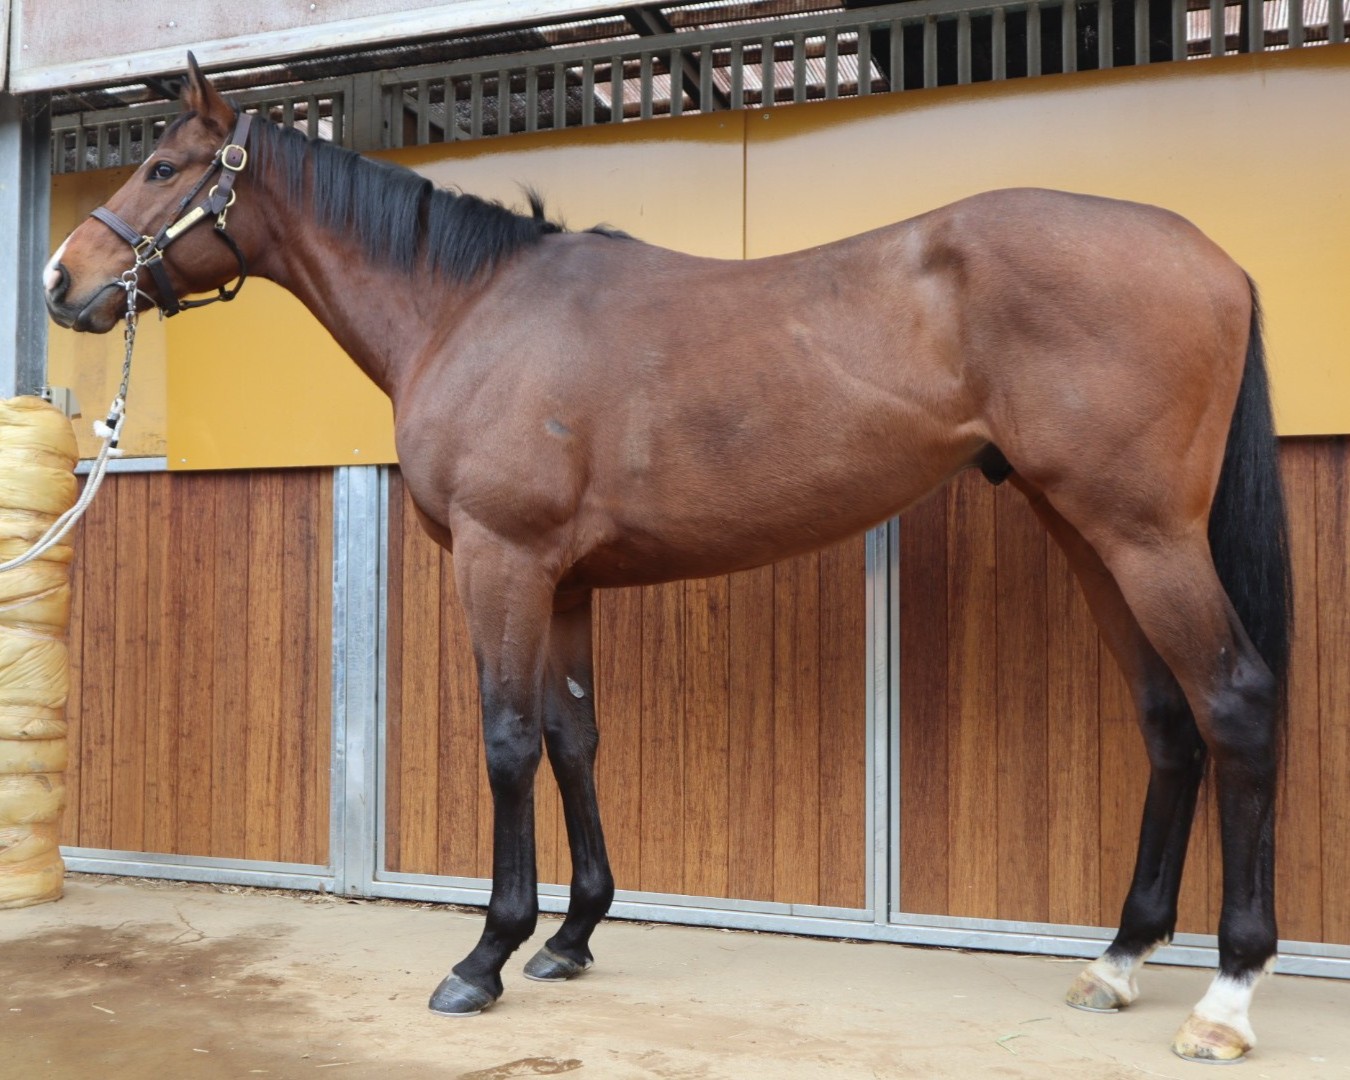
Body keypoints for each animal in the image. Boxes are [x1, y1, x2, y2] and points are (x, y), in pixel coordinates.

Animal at [44, 55, 1291, 1063]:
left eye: (162, 166)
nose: (61, 281)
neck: (469, 313)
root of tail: (1219, 262)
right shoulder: (566, 582)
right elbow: (575, 738)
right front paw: (573, 934)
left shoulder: (500, 562)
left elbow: (508, 743)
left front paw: (485, 957)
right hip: (1087, 534)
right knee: (1168, 722)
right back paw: (1117, 960)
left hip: (1145, 537)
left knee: (1234, 704)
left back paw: (1226, 998)